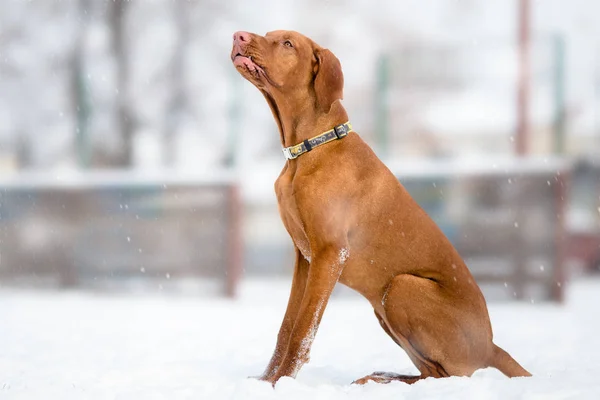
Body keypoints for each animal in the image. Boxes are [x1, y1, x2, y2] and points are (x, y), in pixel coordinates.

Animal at [230, 29, 528, 386]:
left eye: (288, 44)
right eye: (269, 35)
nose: (238, 35)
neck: (310, 149)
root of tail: (492, 347)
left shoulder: (330, 253)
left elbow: (303, 329)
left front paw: (281, 383)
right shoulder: (304, 258)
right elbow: (287, 326)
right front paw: (265, 381)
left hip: (401, 286)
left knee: (446, 376)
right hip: (382, 309)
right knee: (428, 372)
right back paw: (381, 377)